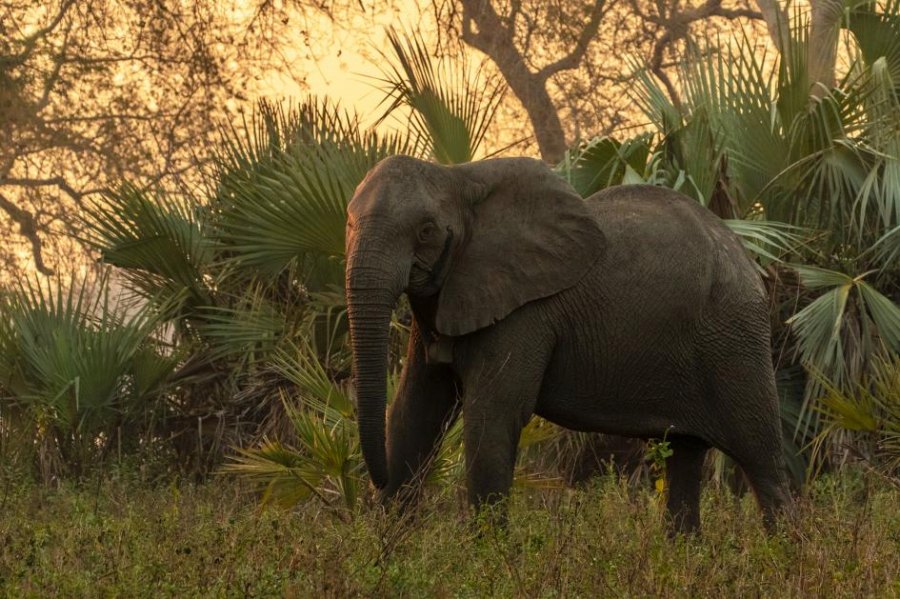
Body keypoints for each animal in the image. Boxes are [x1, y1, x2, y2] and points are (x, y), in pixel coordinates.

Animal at [342, 155, 792, 536]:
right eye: (347, 223)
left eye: (425, 231)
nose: (373, 479)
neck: (457, 177)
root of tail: (747, 258)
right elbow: (413, 415)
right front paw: (384, 554)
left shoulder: (524, 311)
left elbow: (492, 419)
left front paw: (490, 563)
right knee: (686, 455)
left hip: (734, 341)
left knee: (762, 460)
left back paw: (784, 557)